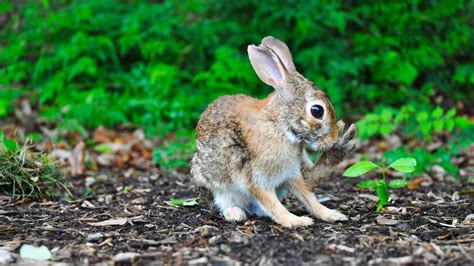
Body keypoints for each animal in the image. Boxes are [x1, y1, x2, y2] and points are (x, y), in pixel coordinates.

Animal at [191, 35, 358, 229]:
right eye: (317, 111)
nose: (332, 140)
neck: (280, 125)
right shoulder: (256, 178)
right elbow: (273, 204)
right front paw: (295, 220)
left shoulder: (291, 173)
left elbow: (308, 197)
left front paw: (331, 214)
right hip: (215, 185)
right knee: (226, 203)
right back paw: (235, 213)